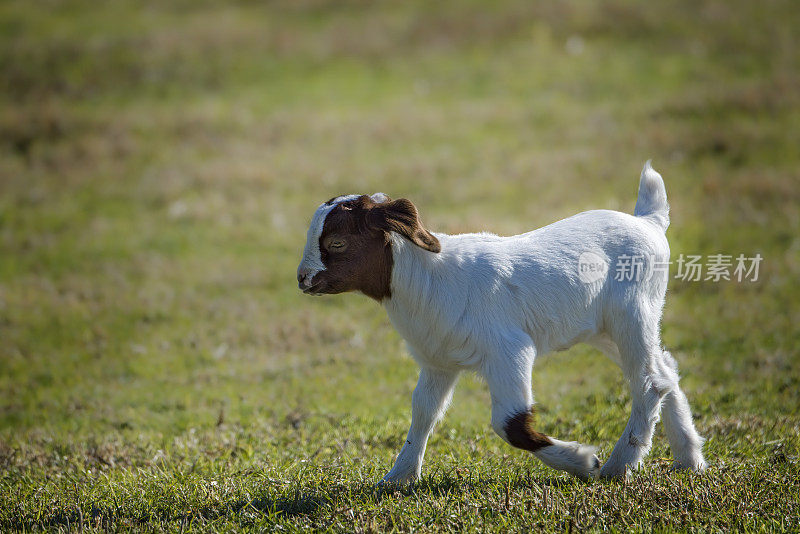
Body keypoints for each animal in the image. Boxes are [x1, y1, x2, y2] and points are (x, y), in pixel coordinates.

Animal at [296, 163, 708, 482]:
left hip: (633, 311)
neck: (427, 278)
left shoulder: (509, 350)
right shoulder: (439, 360)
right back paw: (690, 460)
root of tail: (649, 222)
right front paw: (399, 477)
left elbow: (511, 424)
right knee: (665, 371)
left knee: (649, 383)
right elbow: (424, 413)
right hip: (605, 328)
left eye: (336, 243)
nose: (302, 279)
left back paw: (617, 466)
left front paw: (581, 460)